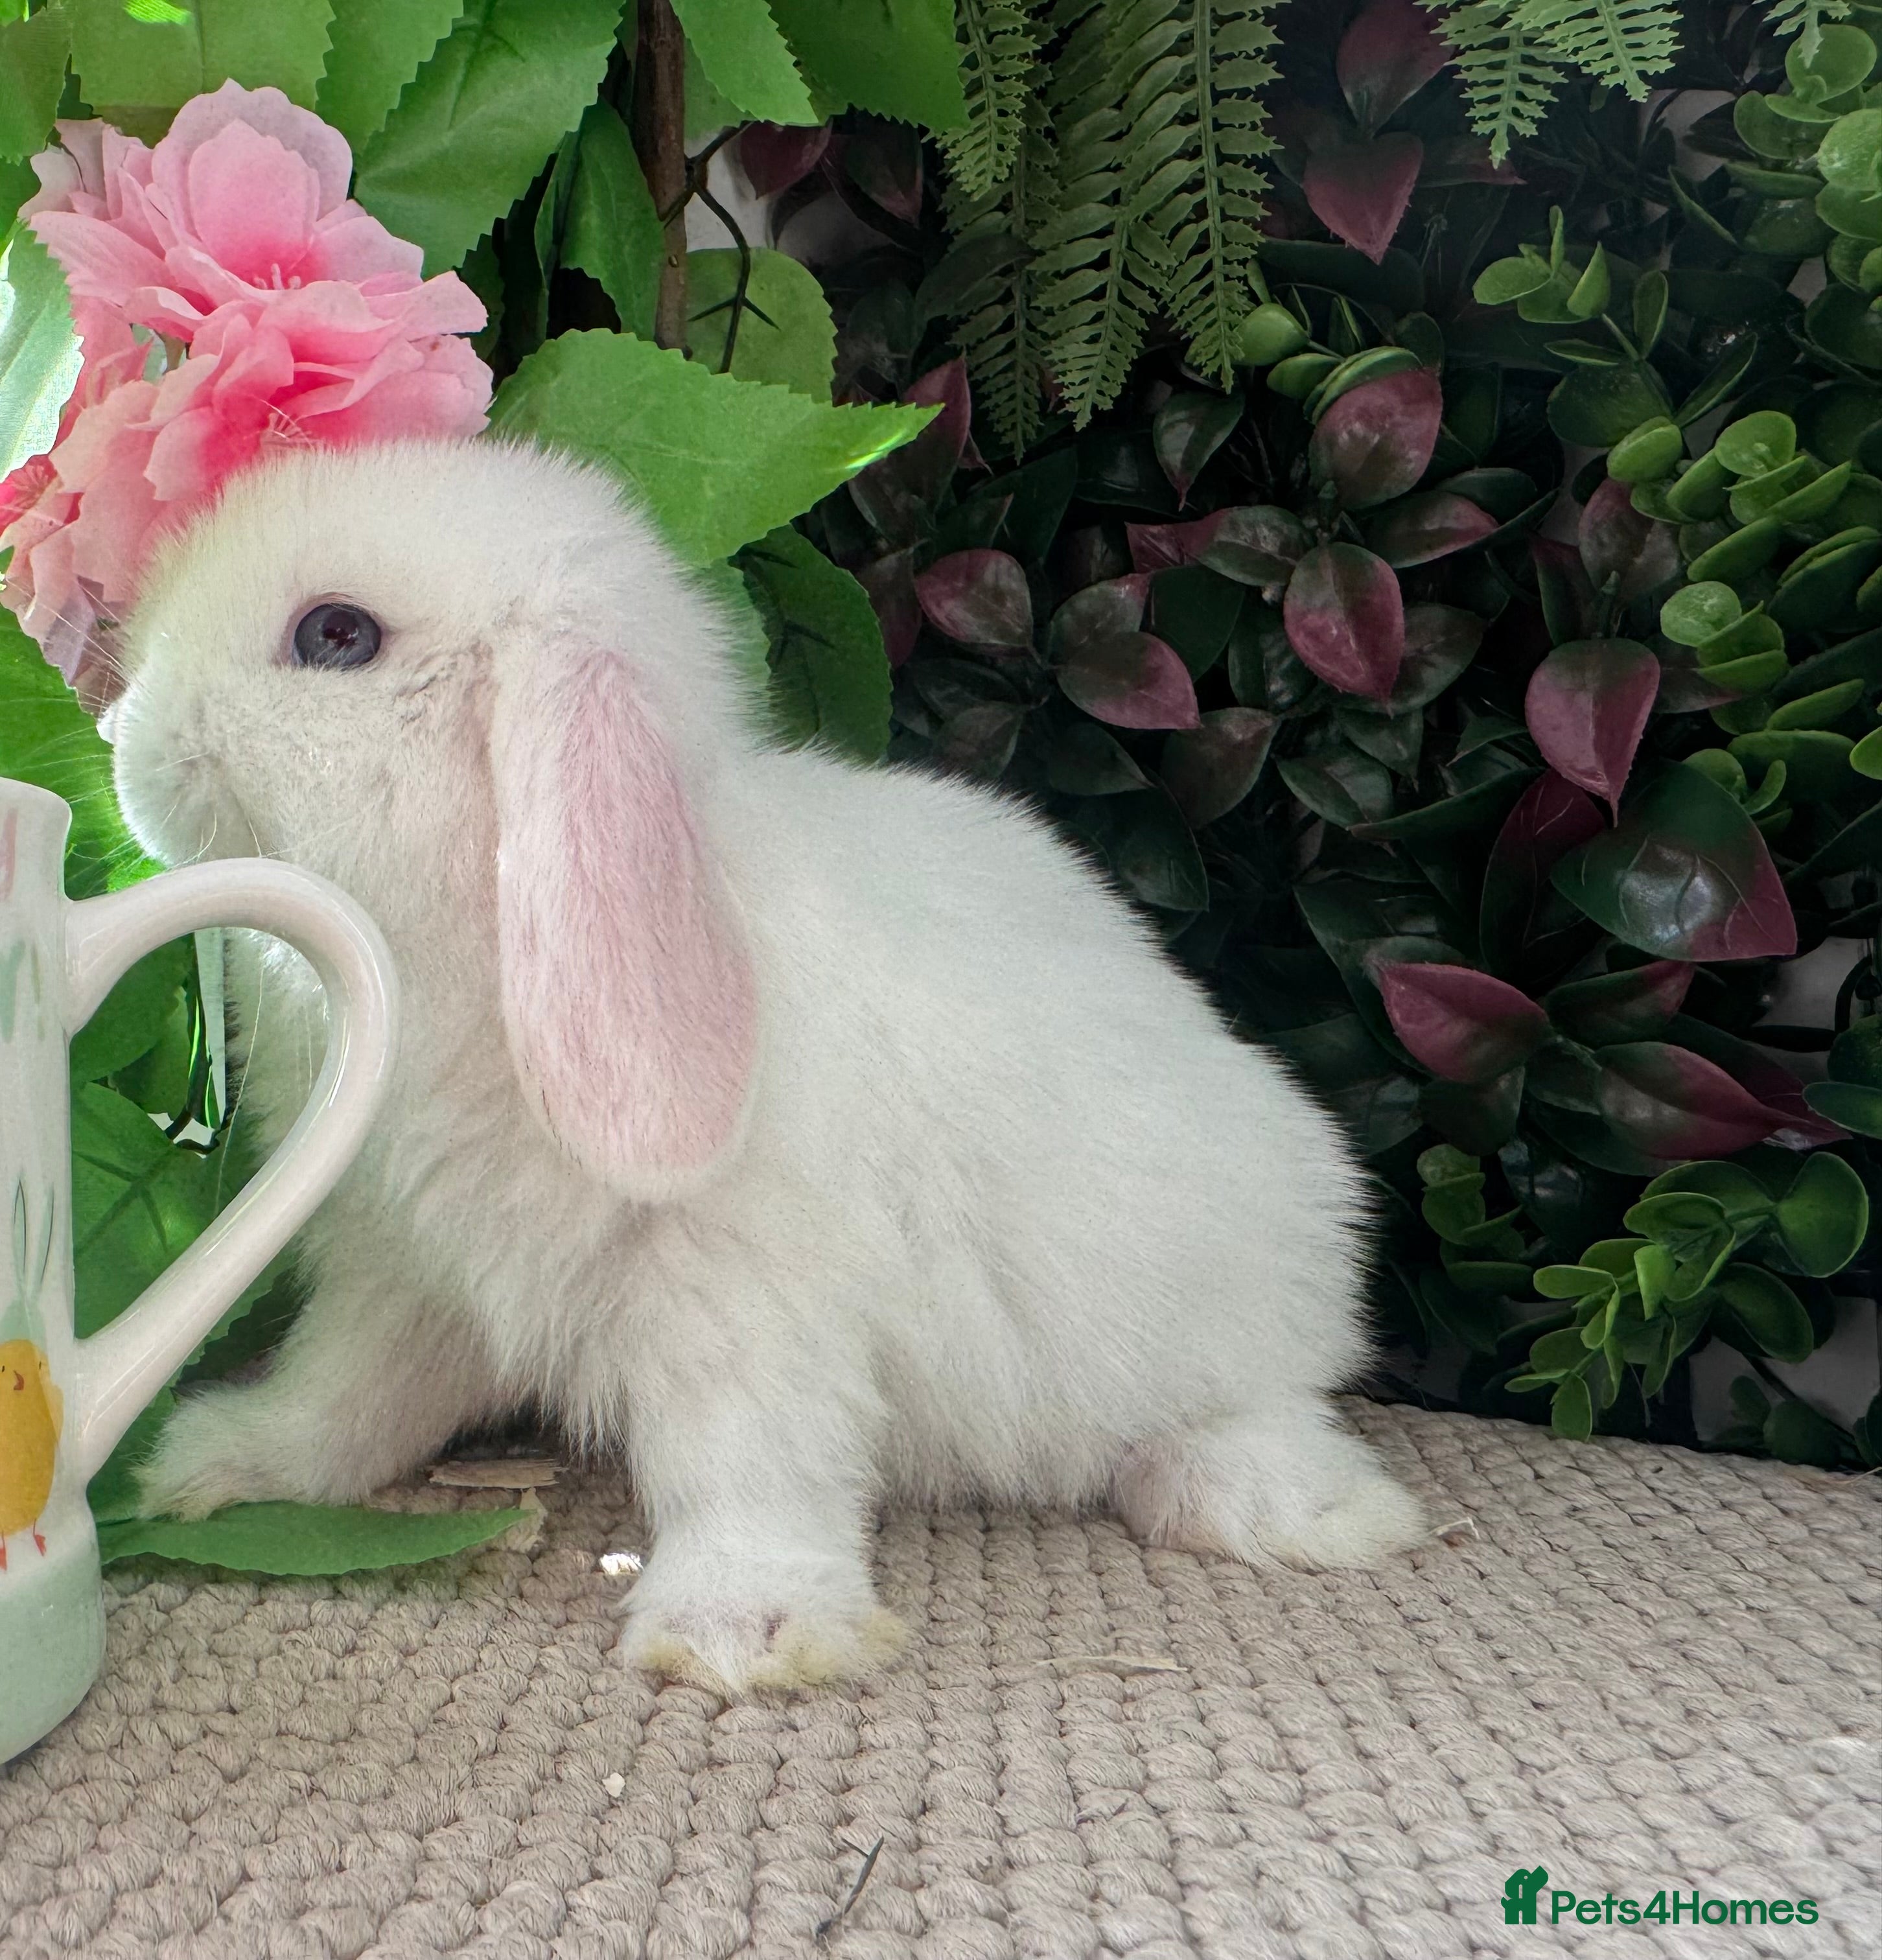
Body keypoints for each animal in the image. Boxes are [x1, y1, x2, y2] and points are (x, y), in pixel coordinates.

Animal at [108, 435, 1426, 1694]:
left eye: (336, 635)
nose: (128, 734)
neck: (469, 936)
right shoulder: (404, 1263)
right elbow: (346, 1394)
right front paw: (221, 1460)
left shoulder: (745, 1299)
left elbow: (747, 1460)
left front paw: (743, 1631)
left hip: (1233, 1291)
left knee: (1264, 1400)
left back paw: (1294, 1508)